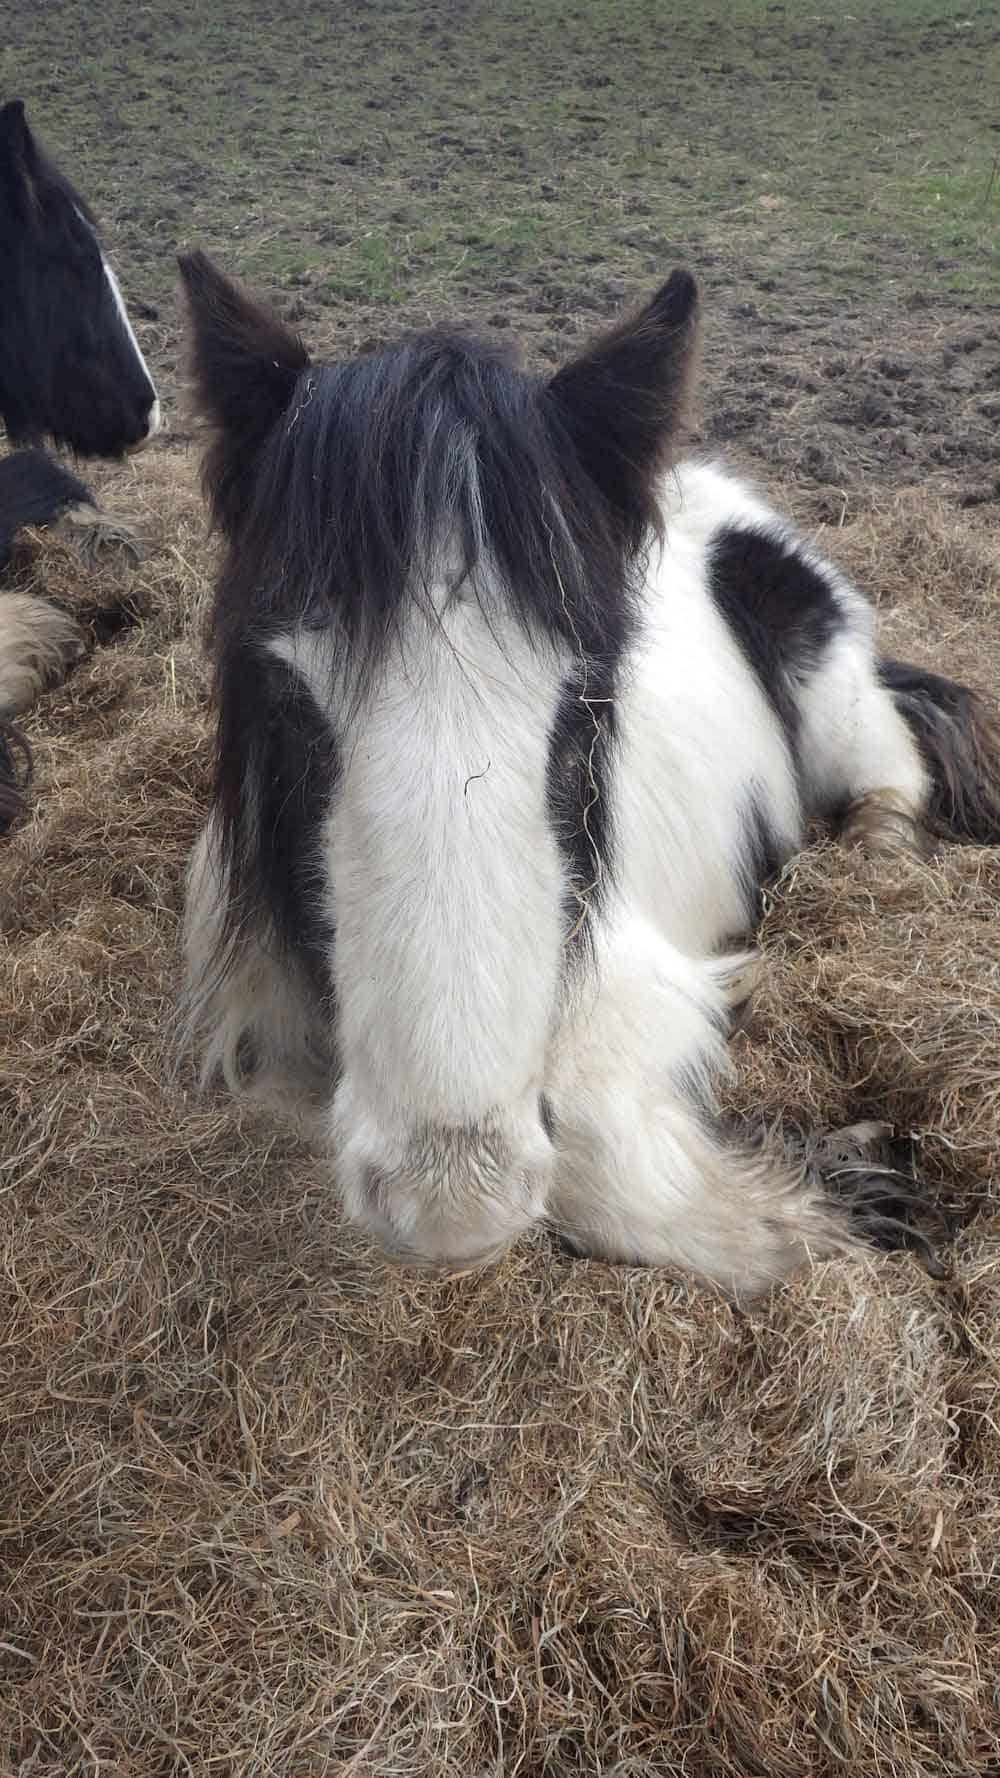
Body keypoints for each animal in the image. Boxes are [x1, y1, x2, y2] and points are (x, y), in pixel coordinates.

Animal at [175, 254, 996, 1294]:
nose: (452, 1196)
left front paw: (854, 1191)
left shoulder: (629, 974)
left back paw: (876, 861)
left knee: (892, 770)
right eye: (286, 700)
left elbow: (598, 1159)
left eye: (590, 699)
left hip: (832, 695)